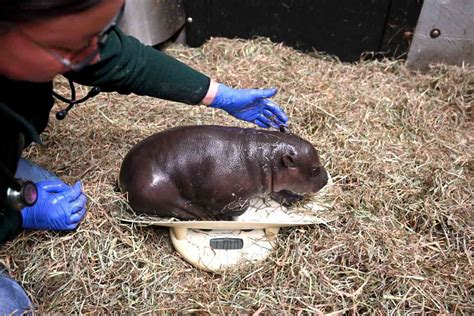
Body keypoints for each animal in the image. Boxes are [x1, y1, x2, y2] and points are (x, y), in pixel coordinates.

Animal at [118, 125, 328, 220]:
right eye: (315, 169)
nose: (326, 180)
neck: (265, 157)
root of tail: (123, 177)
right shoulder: (229, 198)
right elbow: (238, 208)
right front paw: (226, 216)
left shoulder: (272, 184)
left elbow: (278, 192)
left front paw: (293, 198)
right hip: (160, 193)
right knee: (184, 208)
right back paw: (203, 215)